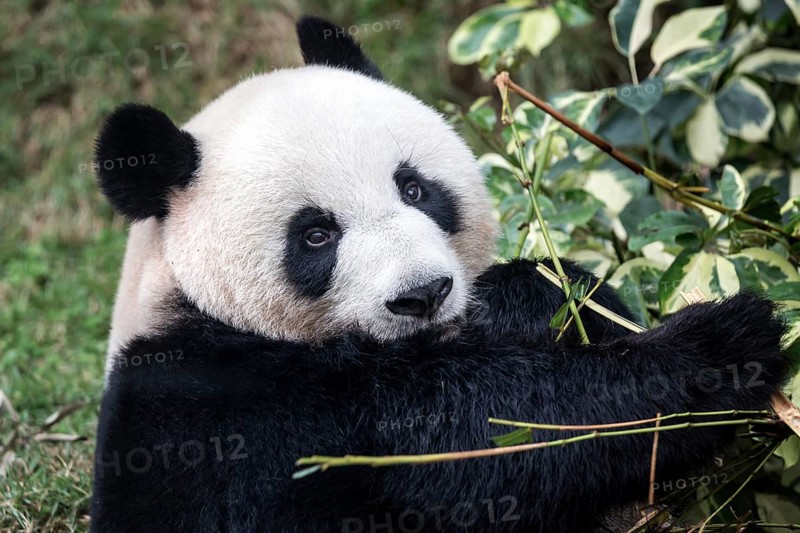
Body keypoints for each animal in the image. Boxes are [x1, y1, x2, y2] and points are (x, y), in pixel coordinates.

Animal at [91, 16, 788, 533]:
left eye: (414, 188)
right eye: (315, 235)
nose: (423, 295)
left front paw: (526, 295)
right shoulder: (231, 411)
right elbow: (480, 437)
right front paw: (724, 347)